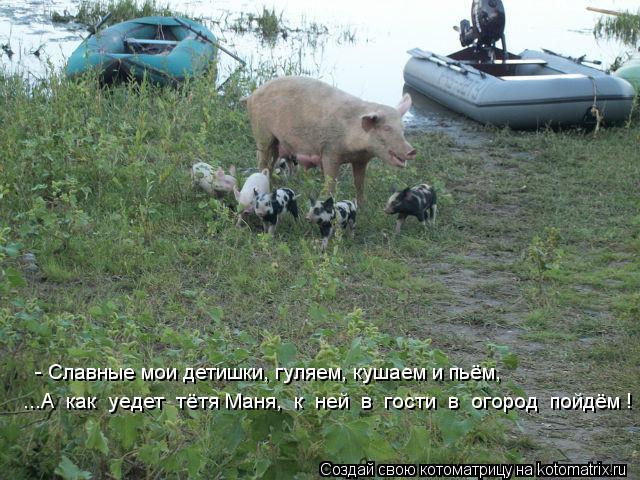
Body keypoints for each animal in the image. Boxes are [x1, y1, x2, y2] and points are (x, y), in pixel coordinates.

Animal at [244, 76, 416, 204]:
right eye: (387, 128)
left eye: (402, 129)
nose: (412, 150)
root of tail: (251, 95)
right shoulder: (330, 152)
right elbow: (331, 181)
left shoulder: (361, 160)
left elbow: (359, 184)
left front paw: (362, 206)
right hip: (262, 133)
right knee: (262, 160)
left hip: (276, 142)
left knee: (271, 162)